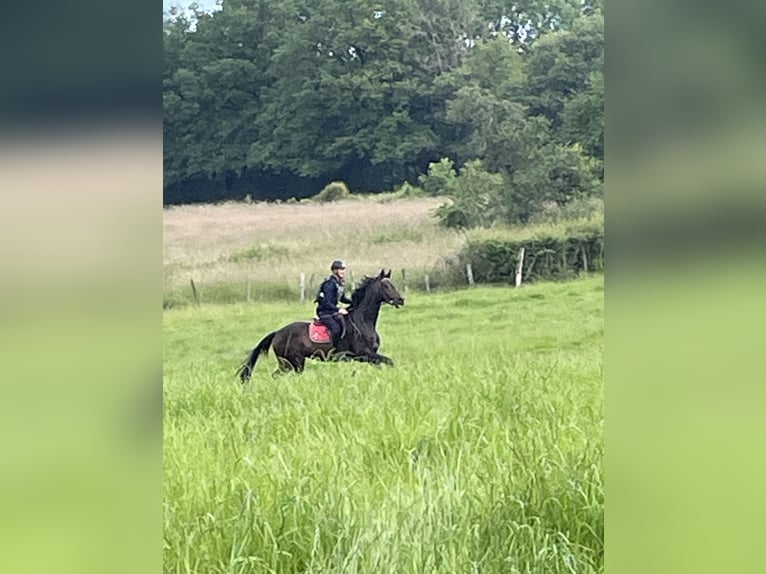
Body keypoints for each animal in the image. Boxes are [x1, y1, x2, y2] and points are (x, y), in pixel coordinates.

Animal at [237, 272, 404, 382]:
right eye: (386, 286)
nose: (401, 300)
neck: (362, 321)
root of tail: (278, 332)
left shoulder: (370, 356)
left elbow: (385, 363)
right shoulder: (363, 354)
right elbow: (389, 361)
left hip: (290, 363)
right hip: (292, 362)